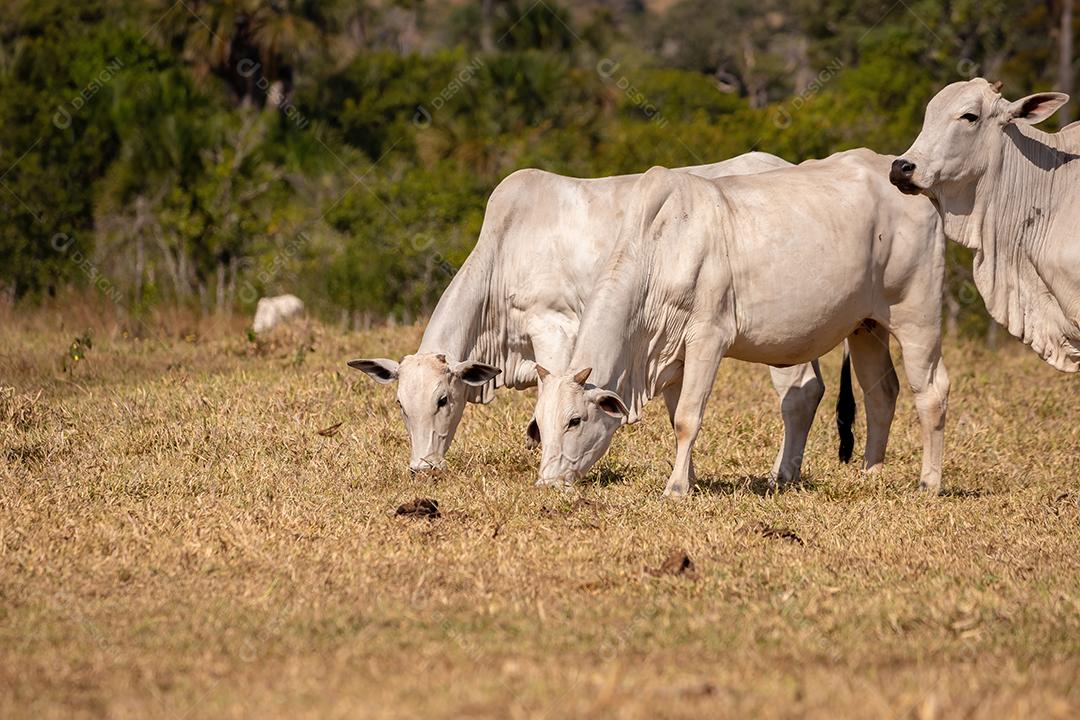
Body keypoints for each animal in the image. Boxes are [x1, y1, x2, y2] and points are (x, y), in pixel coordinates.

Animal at [348, 154, 888, 475]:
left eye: (443, 399)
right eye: (400, 404)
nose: (423, 467)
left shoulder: (554, 326)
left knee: (803, 395)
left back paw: (781, 476)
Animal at [530, 149, 945, 498]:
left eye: (575, 420)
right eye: (540, 424)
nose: (547, 481)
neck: (661, 250)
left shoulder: (707, 339)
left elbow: (687, 418)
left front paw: (676, 488)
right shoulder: (671, 354)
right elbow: (676, 417)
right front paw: (689, 478)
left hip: (918, 316)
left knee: (931, 392)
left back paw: (929, 483)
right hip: (866, 327)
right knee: (881, 394)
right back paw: (869, 474)